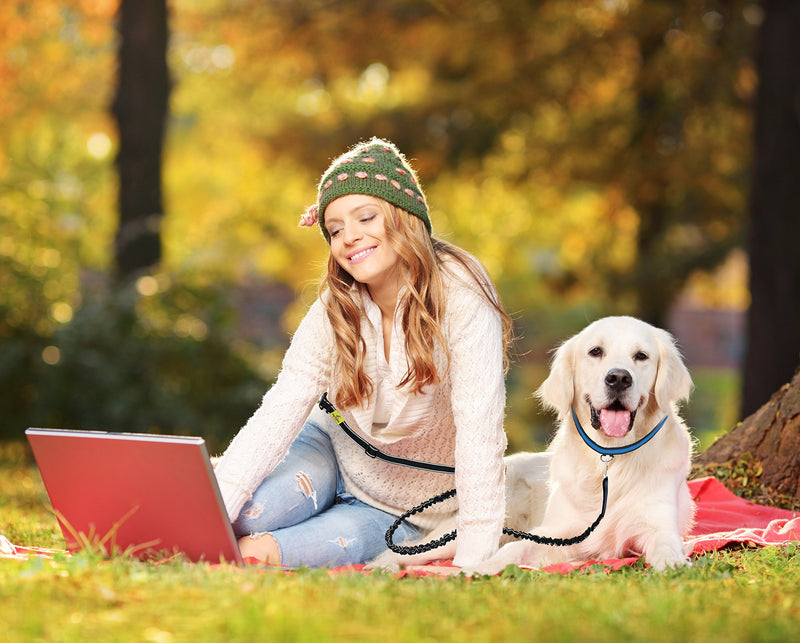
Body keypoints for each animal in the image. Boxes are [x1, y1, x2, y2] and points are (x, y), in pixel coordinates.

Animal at [368, 316, 692, 572]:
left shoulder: (657, 526)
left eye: (641, 356)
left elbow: (666, 547)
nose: (619, 378)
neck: (610, 460)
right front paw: (479, 570)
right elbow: (513, 550)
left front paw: (674, 565)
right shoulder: (558, 532)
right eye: (595, 352)